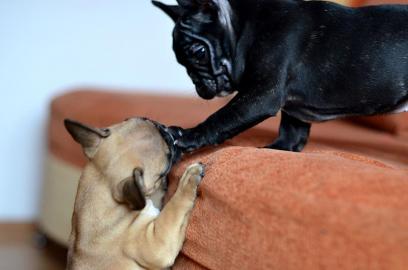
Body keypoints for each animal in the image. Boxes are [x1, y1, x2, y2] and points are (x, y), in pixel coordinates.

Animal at [64, 118, 204, 270]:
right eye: (164, 170)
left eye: (147, 119)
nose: (168, 133)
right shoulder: (158, 243)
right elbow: (175, 207)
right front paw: (191, 176)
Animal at [153, 0, 408, 153]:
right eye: (181, 63)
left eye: (199, 52)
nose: (197, 83)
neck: (246, 25)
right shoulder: (293, 109)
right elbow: (291, 132)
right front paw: (279, 149)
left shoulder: (261, 95)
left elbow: (222, 117)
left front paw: (188, 136)